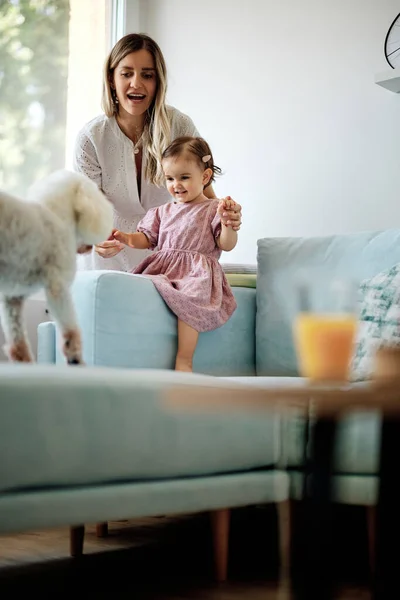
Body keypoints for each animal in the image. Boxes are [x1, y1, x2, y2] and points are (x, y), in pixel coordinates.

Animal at [0, 170, 112, 366]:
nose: (90, 247)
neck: (56, 215)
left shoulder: (12, 297)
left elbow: (17, 339)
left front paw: (24, 361)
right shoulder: (57, 287)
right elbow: (70, 330)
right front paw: (75, 359)